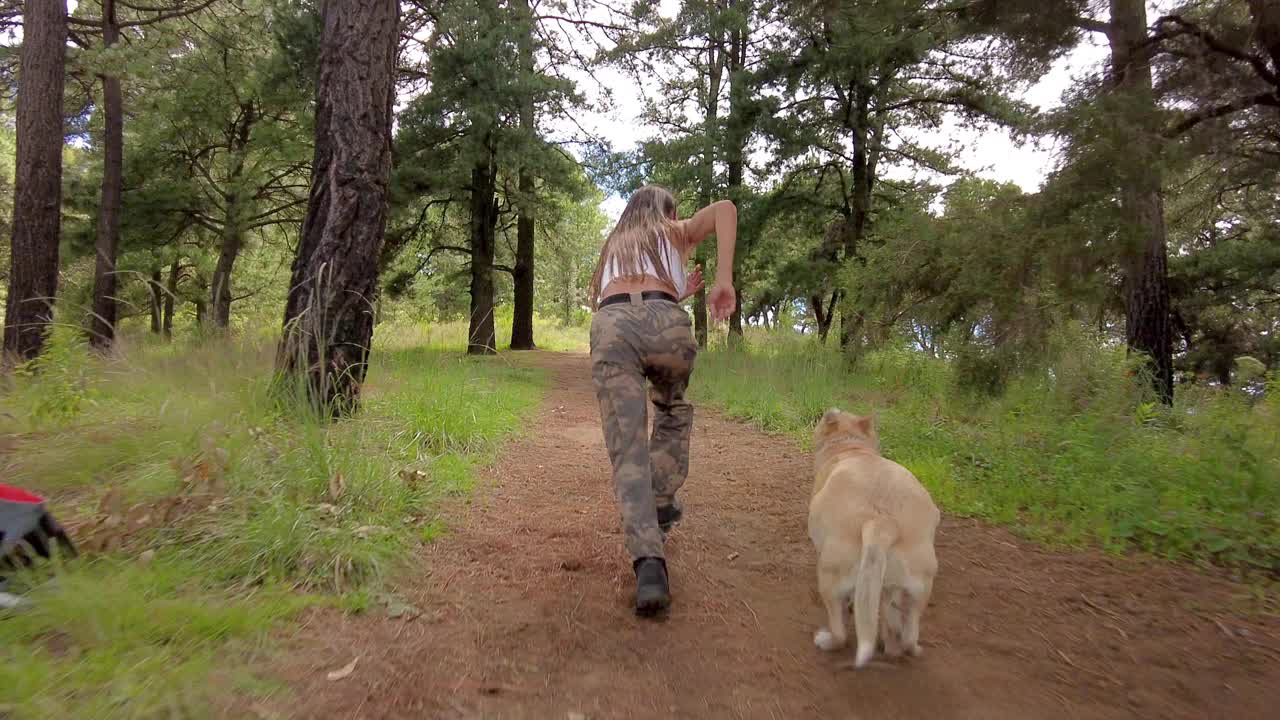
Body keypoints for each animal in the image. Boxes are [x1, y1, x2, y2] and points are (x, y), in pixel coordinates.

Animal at [808, 407, 942, 666]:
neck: (851, 447)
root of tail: (883, 523)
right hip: (917, 588)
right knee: (908, 635)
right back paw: (901, 649)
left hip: (829, 578)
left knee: (840, 633)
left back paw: (826, 640)